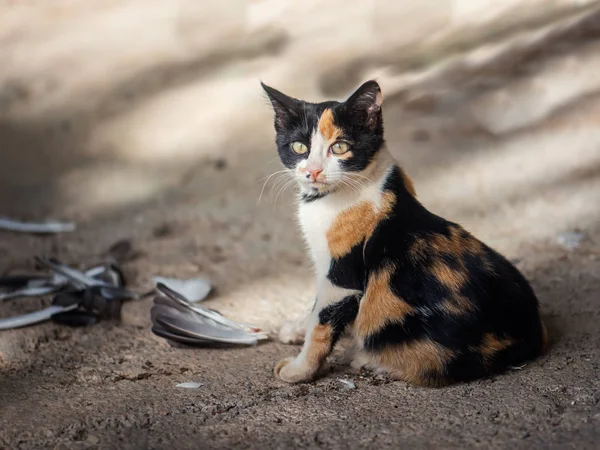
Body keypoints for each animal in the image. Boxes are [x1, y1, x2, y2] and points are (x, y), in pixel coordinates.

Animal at [260, 79, 548, 384]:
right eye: (299, 147)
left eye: (339, 147)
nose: (313, 172)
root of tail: (533, 335)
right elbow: (315, 307)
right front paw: (296, 329)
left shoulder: (342, 277)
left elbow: (322, 322)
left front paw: (299, 370)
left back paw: (366, 358)